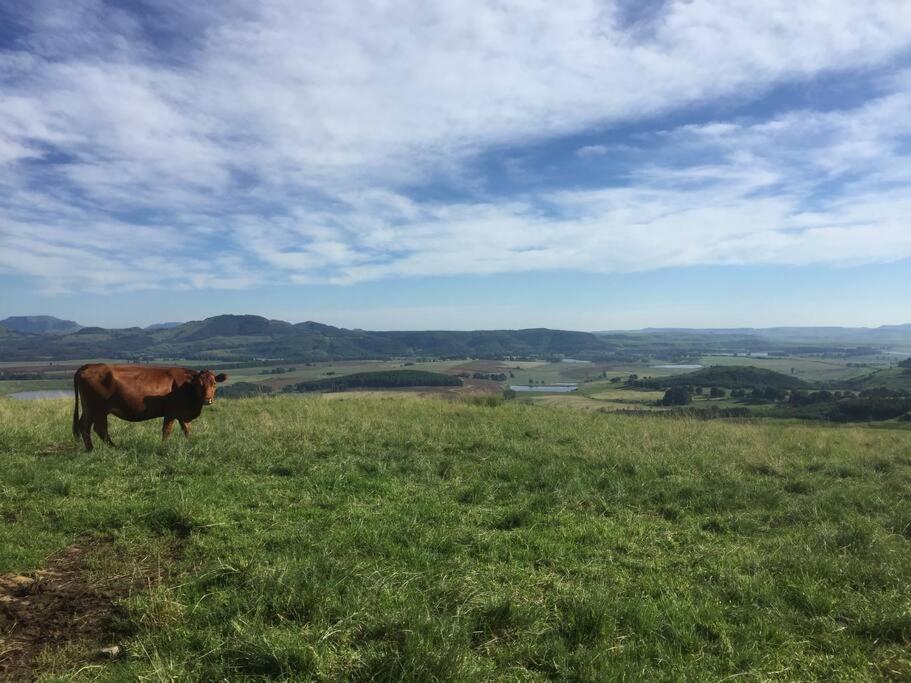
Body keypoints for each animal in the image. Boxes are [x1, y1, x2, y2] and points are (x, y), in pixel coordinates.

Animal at [72, 364, 227, 454]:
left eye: (214, 383)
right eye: (199, 384)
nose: (208, 400)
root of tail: (90, 366)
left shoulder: (181, 413)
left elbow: (187, 429)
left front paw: (190, 444)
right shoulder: (171, 411)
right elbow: (167, 430)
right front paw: (163, 447)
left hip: (88, 408)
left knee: (84, 426)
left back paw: (90, 449)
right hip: (99, 408)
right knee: (100, 428)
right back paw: (114, 448)